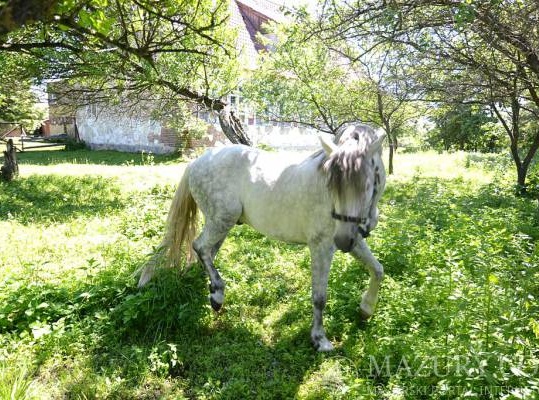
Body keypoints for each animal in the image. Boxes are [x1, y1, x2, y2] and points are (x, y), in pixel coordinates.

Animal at [137, 123, 386, 352]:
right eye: (331, 183)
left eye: (366, 184)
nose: (343, 242)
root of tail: (198, 161)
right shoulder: (322, 246)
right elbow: (319, 297)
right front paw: (319, 340)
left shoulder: (355, 240)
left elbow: (378, 270)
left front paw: (366, 309)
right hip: (222, 220)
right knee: (200, 246)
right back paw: (218, 294)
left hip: (221, 224)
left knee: (207, 252)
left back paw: (211, 291)